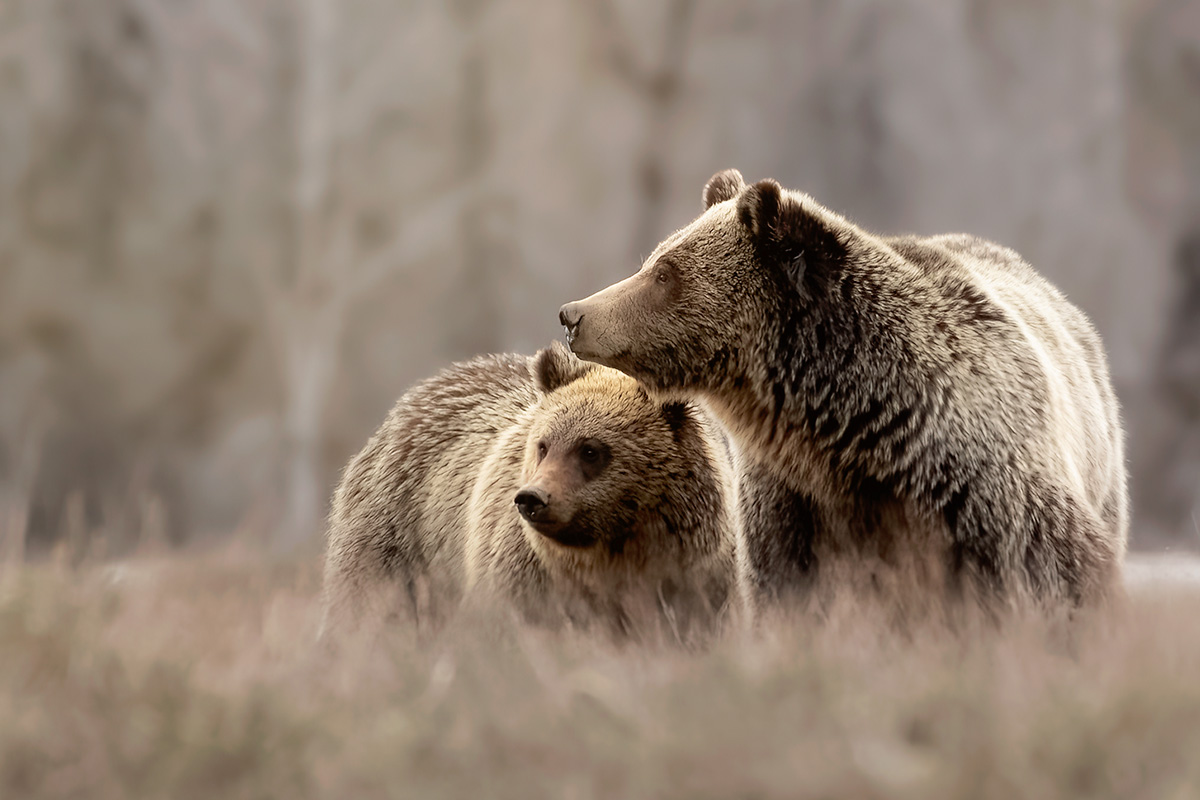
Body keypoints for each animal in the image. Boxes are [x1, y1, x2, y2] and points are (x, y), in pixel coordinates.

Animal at [320, 341, 744, 643]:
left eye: (590, 450)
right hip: (398, 533)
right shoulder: (525, 578)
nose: (532, 498)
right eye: (543, 445)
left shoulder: (698, 581)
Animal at [558, 169, 1128, 616]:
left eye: (664, 272)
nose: (573, 315)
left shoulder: (984, 487)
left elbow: (1058, 569)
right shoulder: (794, 504)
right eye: (654, 261)